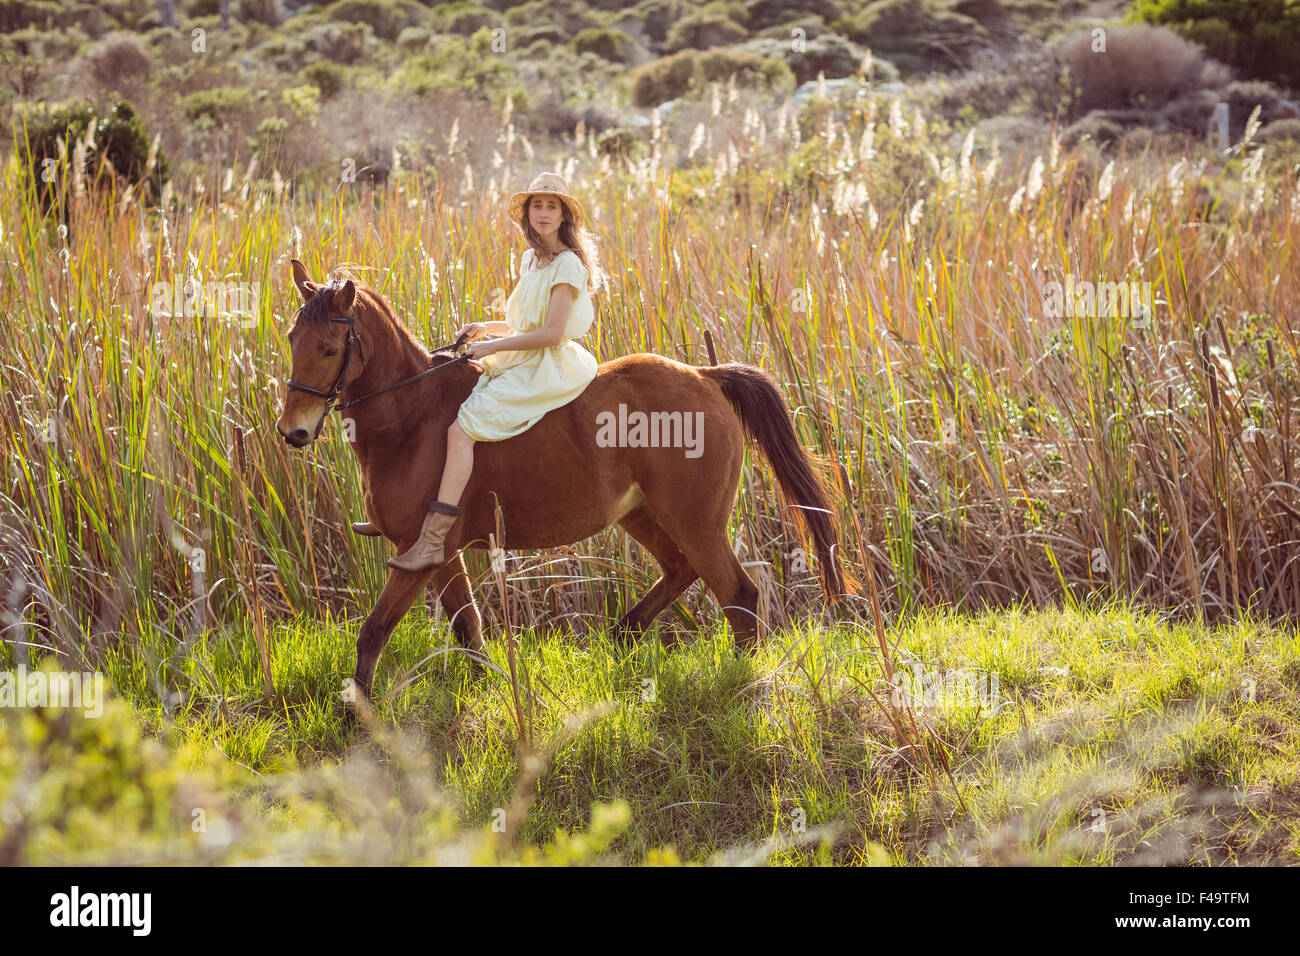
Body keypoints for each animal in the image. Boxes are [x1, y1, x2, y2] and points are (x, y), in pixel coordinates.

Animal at [275, 259, 853, 703]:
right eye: (291, 339)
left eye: (331, 349)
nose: (293, 432)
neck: (411, 419)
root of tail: (705, 376)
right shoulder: (436, 553)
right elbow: (468, 626)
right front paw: (491, 689)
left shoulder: (419, 552)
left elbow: (374, 630)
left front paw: (360, 713)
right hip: (641, 514)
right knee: (681, 570)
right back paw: (623, 634)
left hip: (696, 521)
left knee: (738, 593)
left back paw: (738, 681)